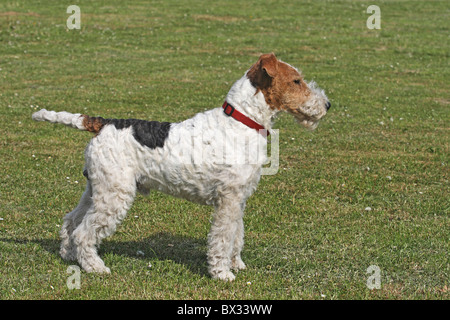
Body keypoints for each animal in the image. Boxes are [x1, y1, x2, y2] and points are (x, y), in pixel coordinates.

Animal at [30, 53, 326, 282]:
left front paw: (236, 264)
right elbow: (222, 238)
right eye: (296, 80)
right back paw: (95, 267)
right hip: (114, 195)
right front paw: (222, 273)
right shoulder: (228, 200)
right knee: (84, 232)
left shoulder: (239, 198)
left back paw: (68, 255)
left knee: (71, 220)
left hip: (96, 189)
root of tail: (102, 123)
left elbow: (236, 235)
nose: (327, 104)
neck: (242, 120)